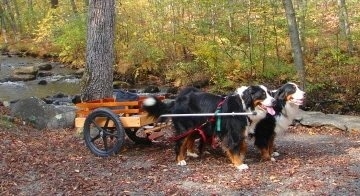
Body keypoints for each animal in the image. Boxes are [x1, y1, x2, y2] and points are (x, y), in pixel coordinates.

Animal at [143, 85, 276, 170]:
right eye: (263, 94)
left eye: (270, 93)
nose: (275, 101)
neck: (244, 106)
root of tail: (177, 101)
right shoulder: (233, 132)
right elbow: (234, 147)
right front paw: (239, 164)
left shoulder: (241, 131)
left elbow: (243, 146)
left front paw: (241, 158)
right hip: (185, 127)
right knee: (180, 143)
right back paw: (180, 160)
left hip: (197, 126)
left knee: (189, 139)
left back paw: (191, 153)